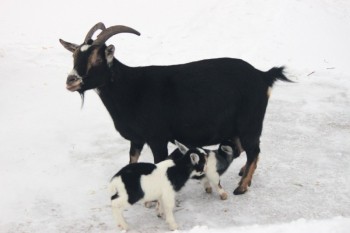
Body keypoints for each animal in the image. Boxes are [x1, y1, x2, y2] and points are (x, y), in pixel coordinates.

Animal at [59, 22, 290, 195]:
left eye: (97, 58)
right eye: (74, 56)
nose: (71, 81)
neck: (131, 89)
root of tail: (263, 75)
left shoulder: (157, 137)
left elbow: (158, 163)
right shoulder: (137, 139)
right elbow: (132, 159)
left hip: (250, 122)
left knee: (253, 150)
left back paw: (241, 187)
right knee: (244, 149)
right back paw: (242, 175)